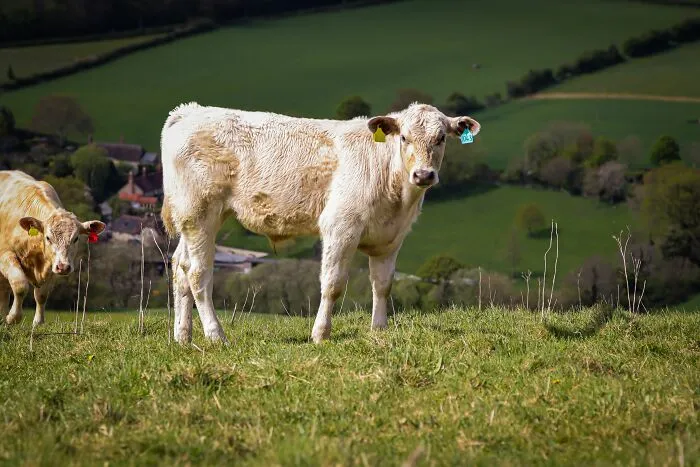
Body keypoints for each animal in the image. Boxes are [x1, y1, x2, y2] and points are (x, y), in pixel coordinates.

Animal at [0, 170, 106, 325]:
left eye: (76, 238)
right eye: (48, 238)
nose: (63, 267)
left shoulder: (52, 265)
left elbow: (41, 295)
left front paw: (38, 323)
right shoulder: (5, 255)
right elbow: (20, 285)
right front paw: (13, 317)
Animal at [160, 102, 481, 344]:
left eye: (441, 138)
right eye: (404, 137)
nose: (423, 175)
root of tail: (188, 111)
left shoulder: (390, 239)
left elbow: (382, 285)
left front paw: (379, 331)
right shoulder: (340, 227)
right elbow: (333, 284)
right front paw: (320, 334)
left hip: (191, 219)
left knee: (180, 266)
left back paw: (182, 336)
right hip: (199, 214)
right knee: (198, 274)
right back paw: (216, 336)